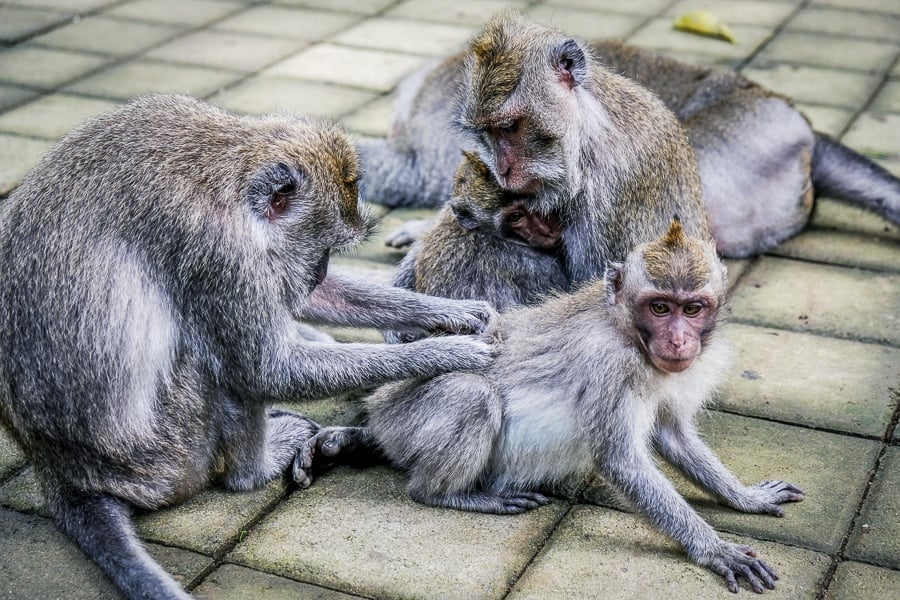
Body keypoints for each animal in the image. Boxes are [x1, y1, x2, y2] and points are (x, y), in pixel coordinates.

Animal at [0, 94, 500, 600]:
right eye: (325, 245)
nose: (319, 271)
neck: (227, 167)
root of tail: (62, 472)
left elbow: (300, 302)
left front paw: (447, 312)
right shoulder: (218, 251)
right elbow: (268, 369)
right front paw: (446, 353)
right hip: (169, 459)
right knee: (220, 367)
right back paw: (255, 469)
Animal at [356, 220, 800, 596]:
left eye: (692, 308)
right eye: (660, 307)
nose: (678, 341)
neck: (626, 332)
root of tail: (377, 404)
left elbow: (672, 435)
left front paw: (744, 497)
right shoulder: (608, 363)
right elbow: (621, 461)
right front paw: (714, 550)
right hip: (401, 420)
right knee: (472, 394)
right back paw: (447, 494)